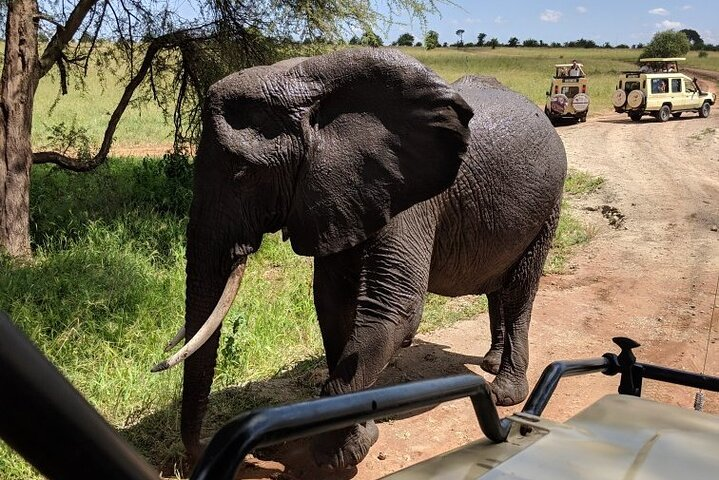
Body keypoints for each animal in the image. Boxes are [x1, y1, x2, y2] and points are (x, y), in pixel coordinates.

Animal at [152, 47, 568, 468]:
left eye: (244, 173)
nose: (250, 450)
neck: (311, 85)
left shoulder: (410, 196)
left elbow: (393, 311)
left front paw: (334, 455)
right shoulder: (339, 193)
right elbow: (332, 302)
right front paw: (358, 434)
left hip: (551, 199)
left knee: (519, 289)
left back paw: (504, 392)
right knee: (500, 287)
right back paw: (490, 363)